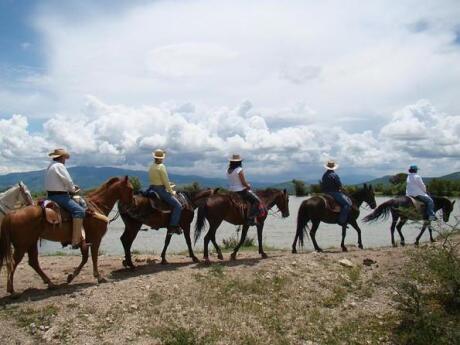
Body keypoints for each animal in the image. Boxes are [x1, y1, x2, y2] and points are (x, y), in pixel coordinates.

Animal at [0, 176, 133, 294]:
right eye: (131, 189)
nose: (130, 206)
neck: (97, 206)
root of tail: (12, 214)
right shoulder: (95, 239)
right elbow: (94, 257)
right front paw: (98, 276)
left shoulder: (84, 241)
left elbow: (85, 258)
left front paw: (71, 277)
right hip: (22, 245)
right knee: (13, 263)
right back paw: (12, 290)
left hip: (31, 242)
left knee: (33, 262)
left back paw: (50, 283)